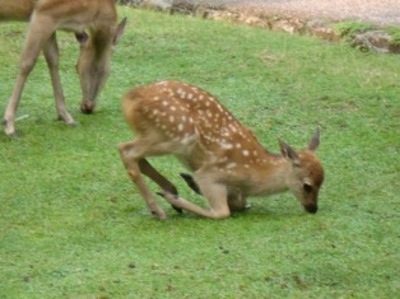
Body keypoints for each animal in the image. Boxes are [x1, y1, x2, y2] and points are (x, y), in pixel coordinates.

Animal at [0, 0, 125, 138]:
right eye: (78, 68)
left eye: (107, 72)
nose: (88, 108)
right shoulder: (44, 13)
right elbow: (27, 62)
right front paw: (9, 125)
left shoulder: (52, 22)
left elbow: (53, 59)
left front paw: (66, 117)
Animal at [119, 81, 324, 219]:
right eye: (307, 185)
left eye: (322, 182)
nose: (313, 208)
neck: (255, 176)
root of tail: (130, 99)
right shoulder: (211, 173)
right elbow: (221, 212)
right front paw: (175, 198)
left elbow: (239, 205)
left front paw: (189, 186)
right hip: (179, 135)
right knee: (126, 150)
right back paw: (160, 209)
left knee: (135, 154)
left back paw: (170, 190)